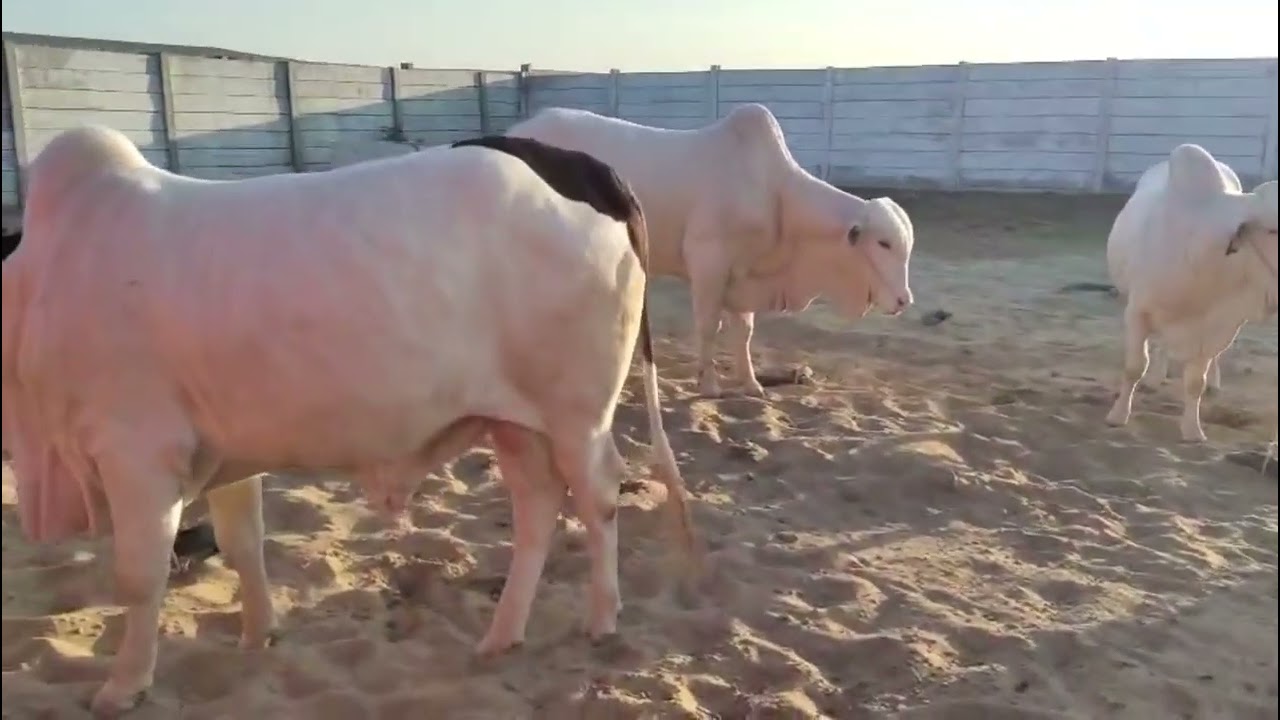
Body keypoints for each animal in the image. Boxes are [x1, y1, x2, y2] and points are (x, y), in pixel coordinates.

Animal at [2, 125, 698, 716]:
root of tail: (583, 166)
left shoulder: (137, 453)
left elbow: (139, 577)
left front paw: (123, 686)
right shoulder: (224, 449)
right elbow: (243, 545)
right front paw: (256, 637)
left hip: (577, 412)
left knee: (597, 497)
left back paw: (601, 618)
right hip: (515, 422)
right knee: (537, 506)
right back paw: (502, 635)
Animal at [505, 103, 916, 398]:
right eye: (883, 243)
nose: (903, 300)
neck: (778, 200)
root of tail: (511, 134)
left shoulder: (745, 274)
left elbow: (743, 331)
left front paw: (750, 383)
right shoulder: (708, 263)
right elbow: (707, 326)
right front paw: (709, 384)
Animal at [1104, 143, 1278, 442]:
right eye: (1274, 230)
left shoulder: (1220, 327)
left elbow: (1196, 380)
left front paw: (1192, 430)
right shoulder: (1138, 312)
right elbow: (1134, 366)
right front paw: (1118, 415)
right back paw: (1154, 379)